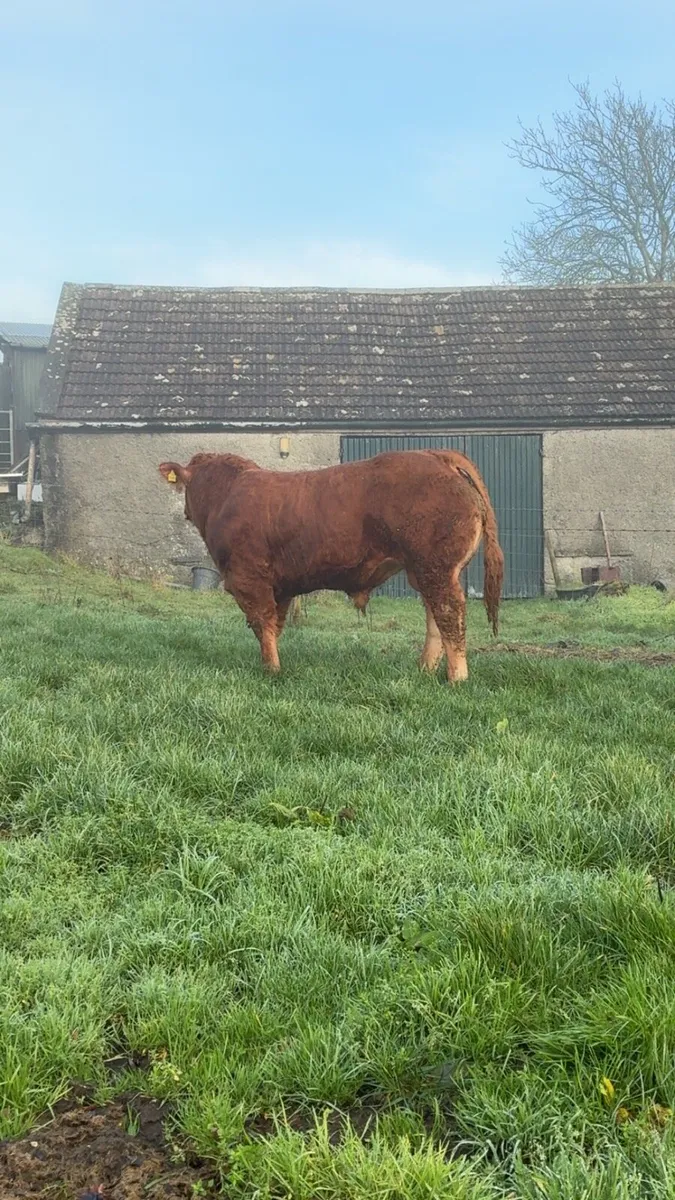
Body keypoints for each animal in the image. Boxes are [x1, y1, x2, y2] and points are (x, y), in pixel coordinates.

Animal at [159, 449, 504, 682]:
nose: (185, 511)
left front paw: (271, 670)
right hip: (424, 569)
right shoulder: (279, 587)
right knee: (435, 614)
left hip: (436, 567)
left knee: (449, 613)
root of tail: (436, 455)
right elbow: (275, 624)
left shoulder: (248, 579)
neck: (224, 496)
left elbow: (262, 624)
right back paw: (425, 669)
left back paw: (456, 677)